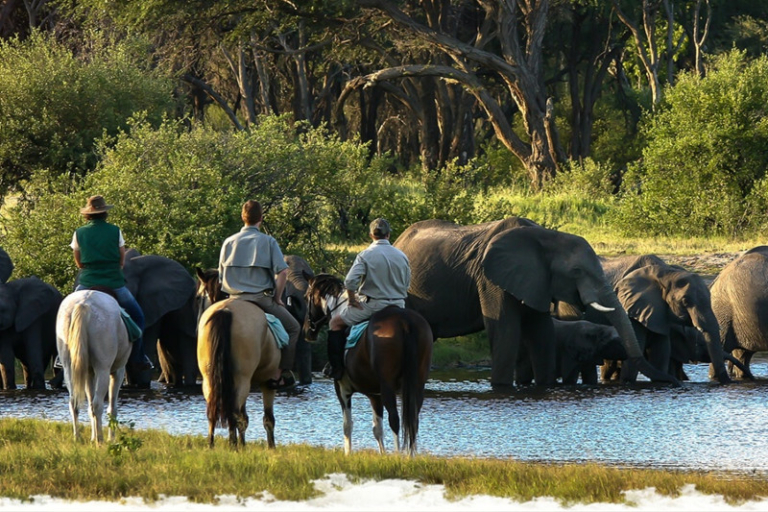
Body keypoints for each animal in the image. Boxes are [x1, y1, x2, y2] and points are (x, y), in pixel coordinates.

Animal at [56, 289, 132, 444]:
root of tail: (84, 303)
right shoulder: (118, 372)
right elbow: (112, 408)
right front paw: (110, 438)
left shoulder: (88, 373)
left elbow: (89, 406)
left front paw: (92, 436)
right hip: (103, 370)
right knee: (97, 404)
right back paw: (100, 440)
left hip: (69, 369)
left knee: (74, 402)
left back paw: (77, 437)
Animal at [195, 269, 281, 448]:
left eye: (198, 297)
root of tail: (225, 310)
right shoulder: (267, 382)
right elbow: (267, 419)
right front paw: (271, 447)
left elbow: (244, 417)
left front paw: (242, 443)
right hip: (243, 379)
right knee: (234, 411)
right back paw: (233, 445)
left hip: (209, 378)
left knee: (213, 408)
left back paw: (212, 444)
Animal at [303, 273, 433, 456]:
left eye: (306, 296)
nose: (307, 331)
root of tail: (405, 322)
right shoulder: (374, 395)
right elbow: (377, 429)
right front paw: (382, 455)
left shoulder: (342, 389)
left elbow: (347, 426)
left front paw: (348, 454)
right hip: (417, 384)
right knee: (413, 419)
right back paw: (410, 456)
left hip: (388, 386)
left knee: (394, 418)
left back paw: (398, 455)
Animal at [393, 217, 677, 388]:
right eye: (576, 272)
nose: (673, 382)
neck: (544, 236)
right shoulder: (490, 278)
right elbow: (506, 330)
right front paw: (502, 388)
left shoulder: (537, 280)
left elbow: (542, 332)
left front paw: (545, 386)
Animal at [570, 255, 732, 384]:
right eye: (685, 301)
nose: (727, 381)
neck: (665, 274)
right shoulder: (630, 308)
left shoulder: (659, 313)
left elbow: (660, 353)